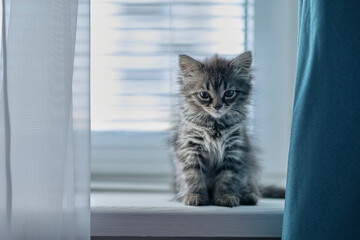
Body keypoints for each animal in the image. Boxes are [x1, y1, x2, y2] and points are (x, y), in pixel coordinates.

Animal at [170, 52, 260, 206]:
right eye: (204, 95)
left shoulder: (234, 149)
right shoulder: (190, 148)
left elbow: (227, 177)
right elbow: (194, 175)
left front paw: (225, 196)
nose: (217, 106)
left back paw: (247, 195)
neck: (215, 125)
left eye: (229, 93)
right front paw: (195, 195)